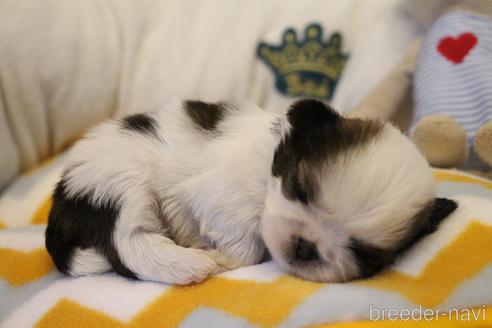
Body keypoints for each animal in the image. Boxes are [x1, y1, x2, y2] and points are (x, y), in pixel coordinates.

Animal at [46, 98, 458, 284]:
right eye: (299, 188)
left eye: (363, 253)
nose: (306, 247)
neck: (269, 165)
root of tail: (62, 196)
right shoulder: (224, 192)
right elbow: (242, 238)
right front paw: (224, 257)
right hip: (118, 178)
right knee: (126, 242)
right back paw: (189, 264)